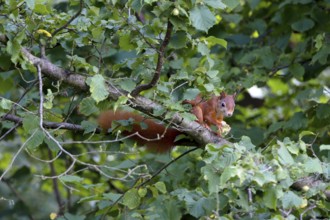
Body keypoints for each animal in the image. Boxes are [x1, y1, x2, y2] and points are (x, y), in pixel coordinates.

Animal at [98, 92, 235, 151]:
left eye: (234, 105)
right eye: (223, 104)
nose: (229, 114)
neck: (218, 111)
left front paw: (220, 130)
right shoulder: (208, 107)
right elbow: (208, 117)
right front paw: (217, 125)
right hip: (196, 110)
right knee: (199, 117)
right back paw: (203, 125)